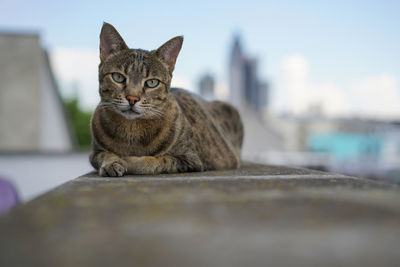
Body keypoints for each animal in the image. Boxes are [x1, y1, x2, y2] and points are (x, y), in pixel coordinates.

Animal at [90, 23, 244, 177]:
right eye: (118, 77)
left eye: (152, 82)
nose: (132, 98)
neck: (131, 131)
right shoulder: (94, 153)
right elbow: (105, 154)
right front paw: (112, 162)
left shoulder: (191, 159)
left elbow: (155, 161)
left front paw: (129, 160)